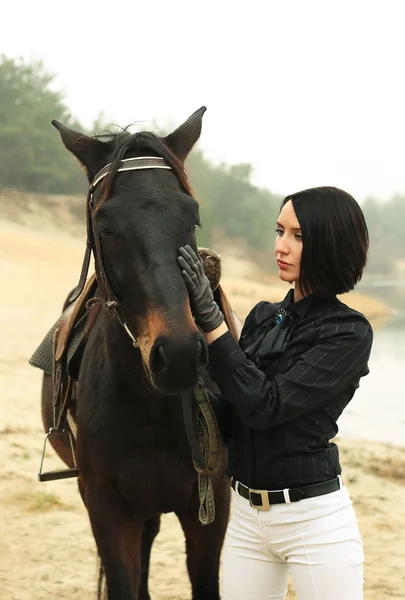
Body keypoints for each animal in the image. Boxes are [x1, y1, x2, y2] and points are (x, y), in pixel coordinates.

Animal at [40, 109, 230, 600]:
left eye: (192, 218)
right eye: (105, 225)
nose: (178, 354)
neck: (149, 408)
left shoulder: (210, 506)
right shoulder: (107, 507)